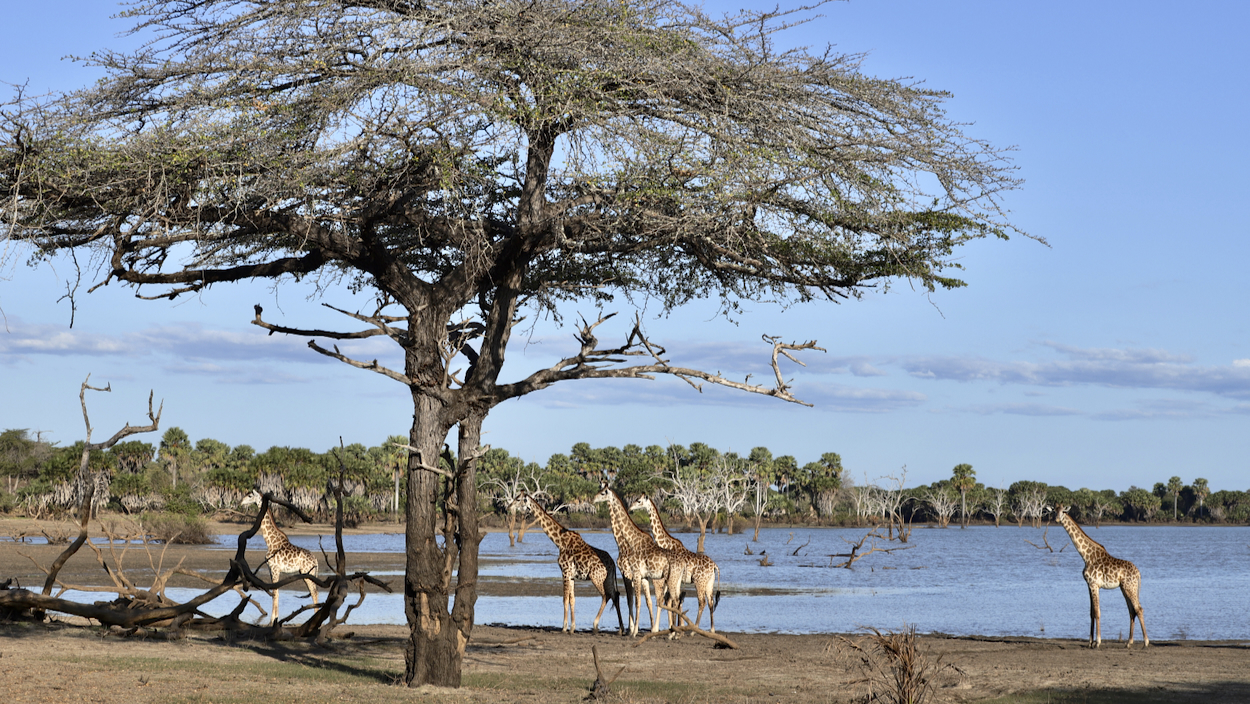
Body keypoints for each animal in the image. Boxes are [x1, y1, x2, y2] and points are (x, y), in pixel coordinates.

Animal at [237, 492, 317, 625]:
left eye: (249, 495)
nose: (240, 502)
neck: (270, 542)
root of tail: (315, 559)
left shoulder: (275, 569)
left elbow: (275, 593)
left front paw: (272, 621)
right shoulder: (271, 569)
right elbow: (276, 592)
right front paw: (275, 619)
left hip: (307, 573)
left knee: (314, 592)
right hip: (307, 573)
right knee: (314, 592)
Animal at [515, 492, 625, 635]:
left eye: (518, 499)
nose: (510, 506)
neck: (559, 541)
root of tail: (612, 564)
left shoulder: (565, 572)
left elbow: (564, 599)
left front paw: (564, 627)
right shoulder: (571, 575)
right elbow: (572, 599)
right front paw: (572, 627)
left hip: (596, 577)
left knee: (605, 595)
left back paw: (595, 625)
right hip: (608, 579)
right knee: (615, 595)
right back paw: (621, 629)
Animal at [592, 485, 675, 640]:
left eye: (603, 493)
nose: (593, 499)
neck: (627, 542)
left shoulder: (633, 574)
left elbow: (637, 601)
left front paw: (634, 631)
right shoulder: (638, 576)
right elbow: (640, 601)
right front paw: (636, 630)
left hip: (662, 580)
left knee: (664, 600)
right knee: (668, 600)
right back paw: (671, 632)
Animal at [625, 495, 725, 632]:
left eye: (638, 501)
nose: (630, 508)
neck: (666, 543)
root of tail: (715, 566)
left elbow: (670, 601)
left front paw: (672, 626)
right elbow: (671, 601)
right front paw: (673, 625)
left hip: (699, 581)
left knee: (702, 602)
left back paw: (694, 629)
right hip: (709, 582)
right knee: (710, 602)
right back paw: (712, 630)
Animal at [1050, 507, 1145, 650]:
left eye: (1062, 512)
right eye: (1054, 511)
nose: (1056, 519)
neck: (1086, 556)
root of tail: (1138, 573)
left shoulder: (1094, 584)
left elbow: (1097, 612)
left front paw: (1098, 642)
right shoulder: (1089, 585)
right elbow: (1091, 613)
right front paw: (1090, 642)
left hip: (1130, 587)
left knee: (1139, 609)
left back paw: (1146, 642)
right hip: (1125, 588)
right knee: (1131, 611)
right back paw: (1129, 642)